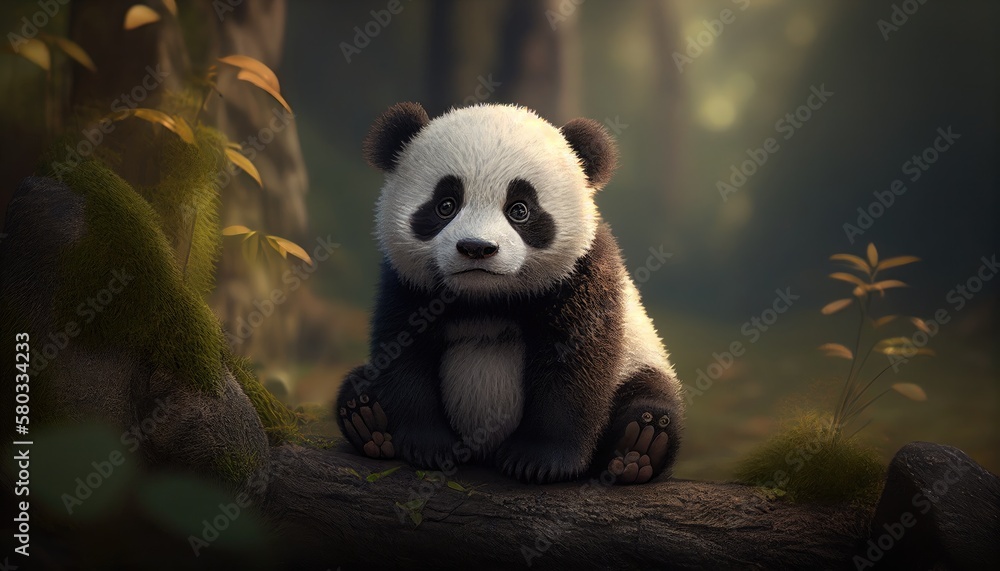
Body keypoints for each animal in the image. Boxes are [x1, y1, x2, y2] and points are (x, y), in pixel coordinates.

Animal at [336, 102, 684, 485]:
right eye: (446, 205)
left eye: (520, 209)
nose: (476, 248)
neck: (487, 296)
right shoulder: (407, 284)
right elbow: (404, 352)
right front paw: (429, 447)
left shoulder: (581, 274)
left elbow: (575, 363)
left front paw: (539, 460)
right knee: (360, 382)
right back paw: (367, 418)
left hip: (639, 359)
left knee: (650, 393)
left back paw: (639, 446)